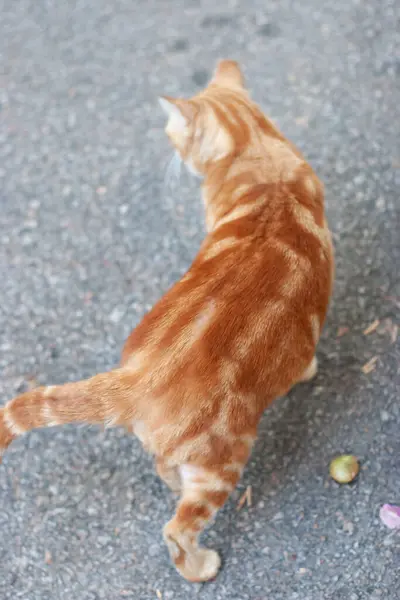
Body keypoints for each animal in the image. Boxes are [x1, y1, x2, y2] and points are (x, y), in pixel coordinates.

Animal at [0, 61, 334, 580]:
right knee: (177, 529)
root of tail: (135, 378)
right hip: (223, 462)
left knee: (164, 472)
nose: (170, 151)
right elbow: (304, 359)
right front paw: (309, 371)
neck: (257, 152)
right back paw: (200, 567)